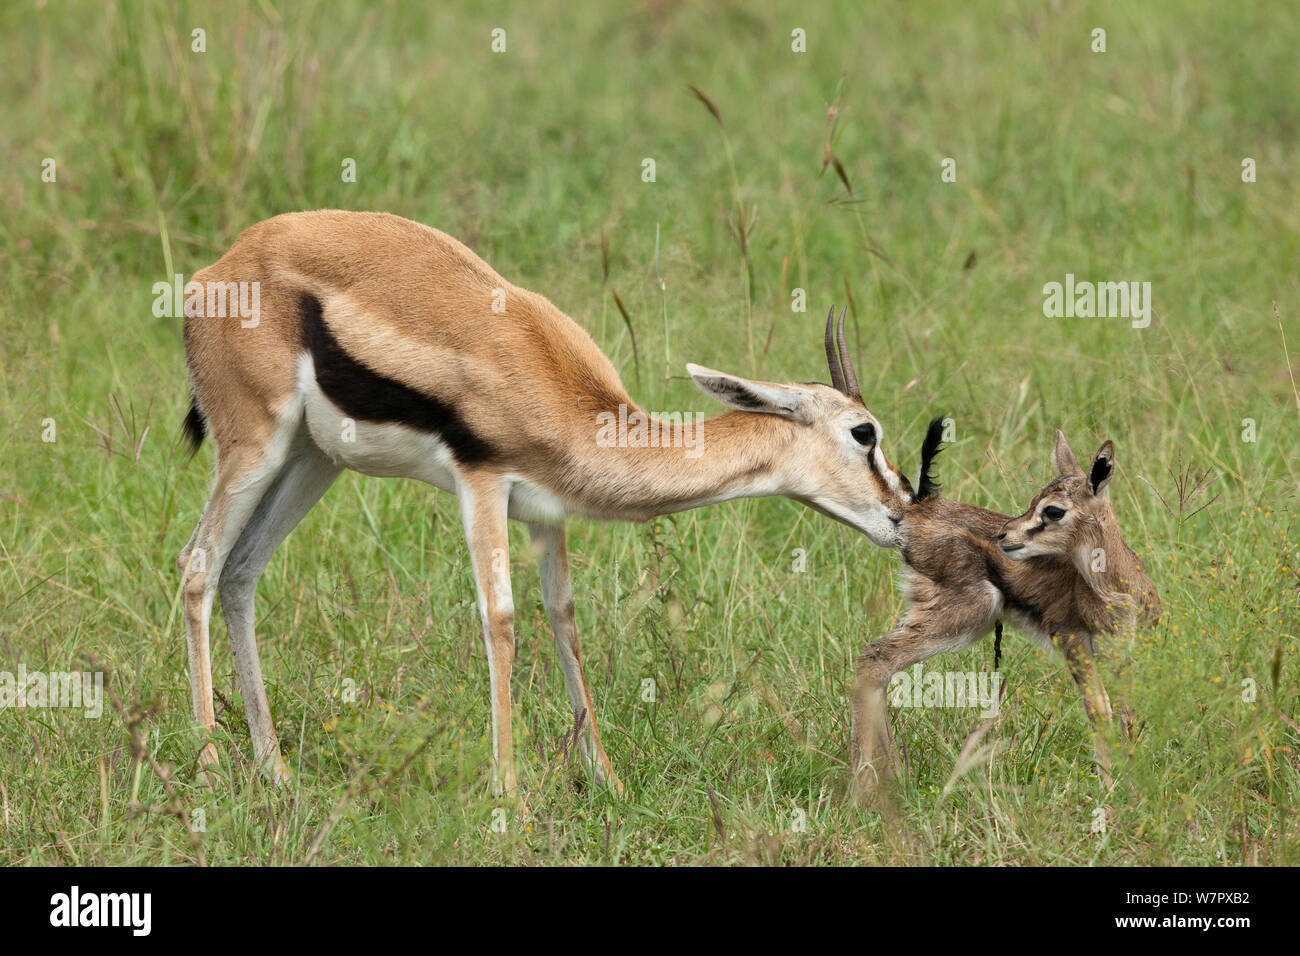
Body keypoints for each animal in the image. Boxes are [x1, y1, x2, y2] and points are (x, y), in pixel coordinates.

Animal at [177, 210, 914, 797]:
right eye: (864, 432)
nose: (904, 512)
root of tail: (221, 265)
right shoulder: (481, 483)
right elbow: (501, 620)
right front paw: (509, 795)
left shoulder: (544, 512)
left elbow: (564, 619)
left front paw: (608, 782)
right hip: (254, 448)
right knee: (197, 566)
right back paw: (211, 769)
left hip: (313, 461)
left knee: (240, 572)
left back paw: (275, 770)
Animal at [851, 422, 1160, 795]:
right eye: (1033, 502)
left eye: (1052, 509)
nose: (1004, 535)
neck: (1115, 590)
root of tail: (922, 508)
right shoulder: (1074, 641)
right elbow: (1099, 709)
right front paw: (1110, 791)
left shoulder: (1124, 653)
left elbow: (1127, 712)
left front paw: (1132, 786)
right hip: (967, 612)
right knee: (875, 658)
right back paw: (868, 786)